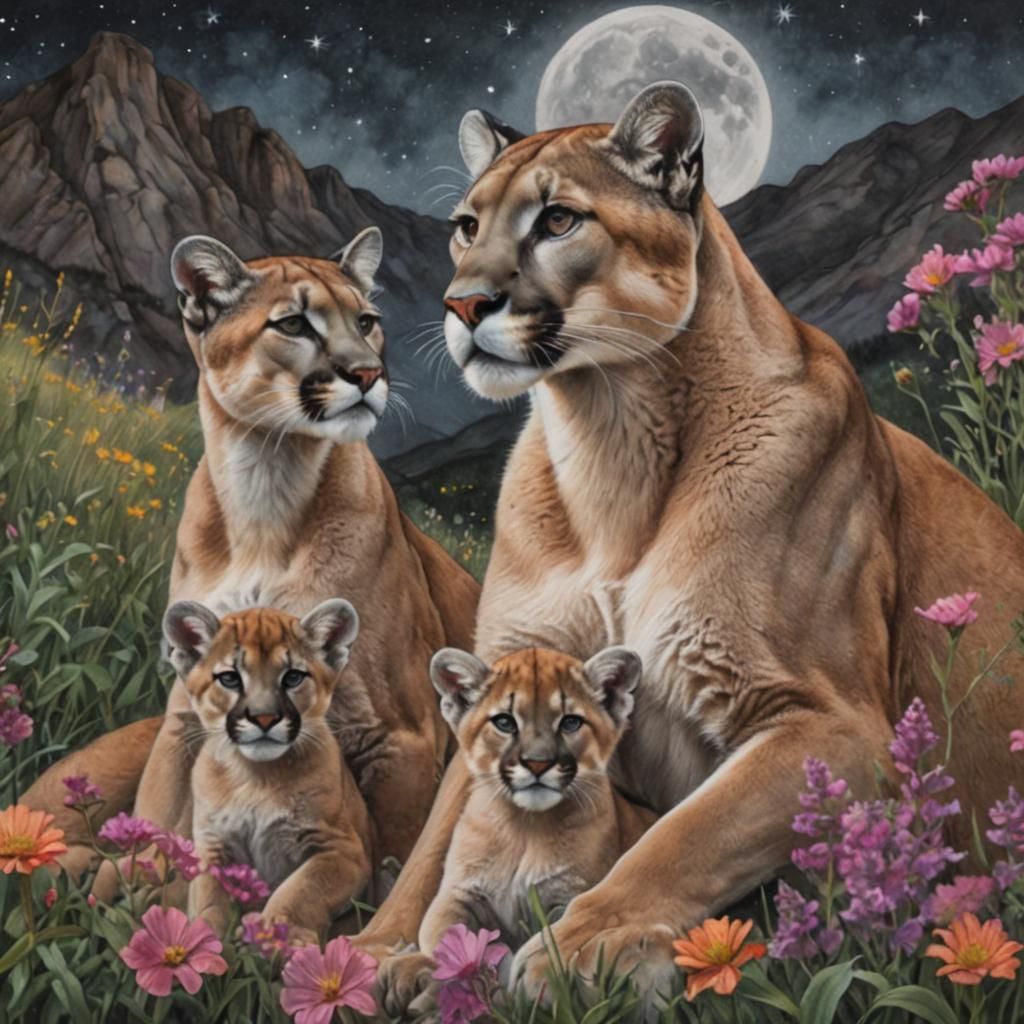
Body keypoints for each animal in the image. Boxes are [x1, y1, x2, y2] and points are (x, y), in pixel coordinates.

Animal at [23, 228, 479, 880]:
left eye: (366, 321)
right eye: (293, 324)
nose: (368, 373)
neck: (265, 479)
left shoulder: (403, 735)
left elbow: (392, 862)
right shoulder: (183, 720)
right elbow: (158, 823)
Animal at [357, 83, 1024, 1000]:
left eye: (558, 220)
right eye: (466, 225)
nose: (462, 305)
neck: (608, 443)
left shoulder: (835, 724)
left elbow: (682, 837)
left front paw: (582, 949)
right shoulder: (499, 684)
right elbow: (435, 844)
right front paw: (375, 955)